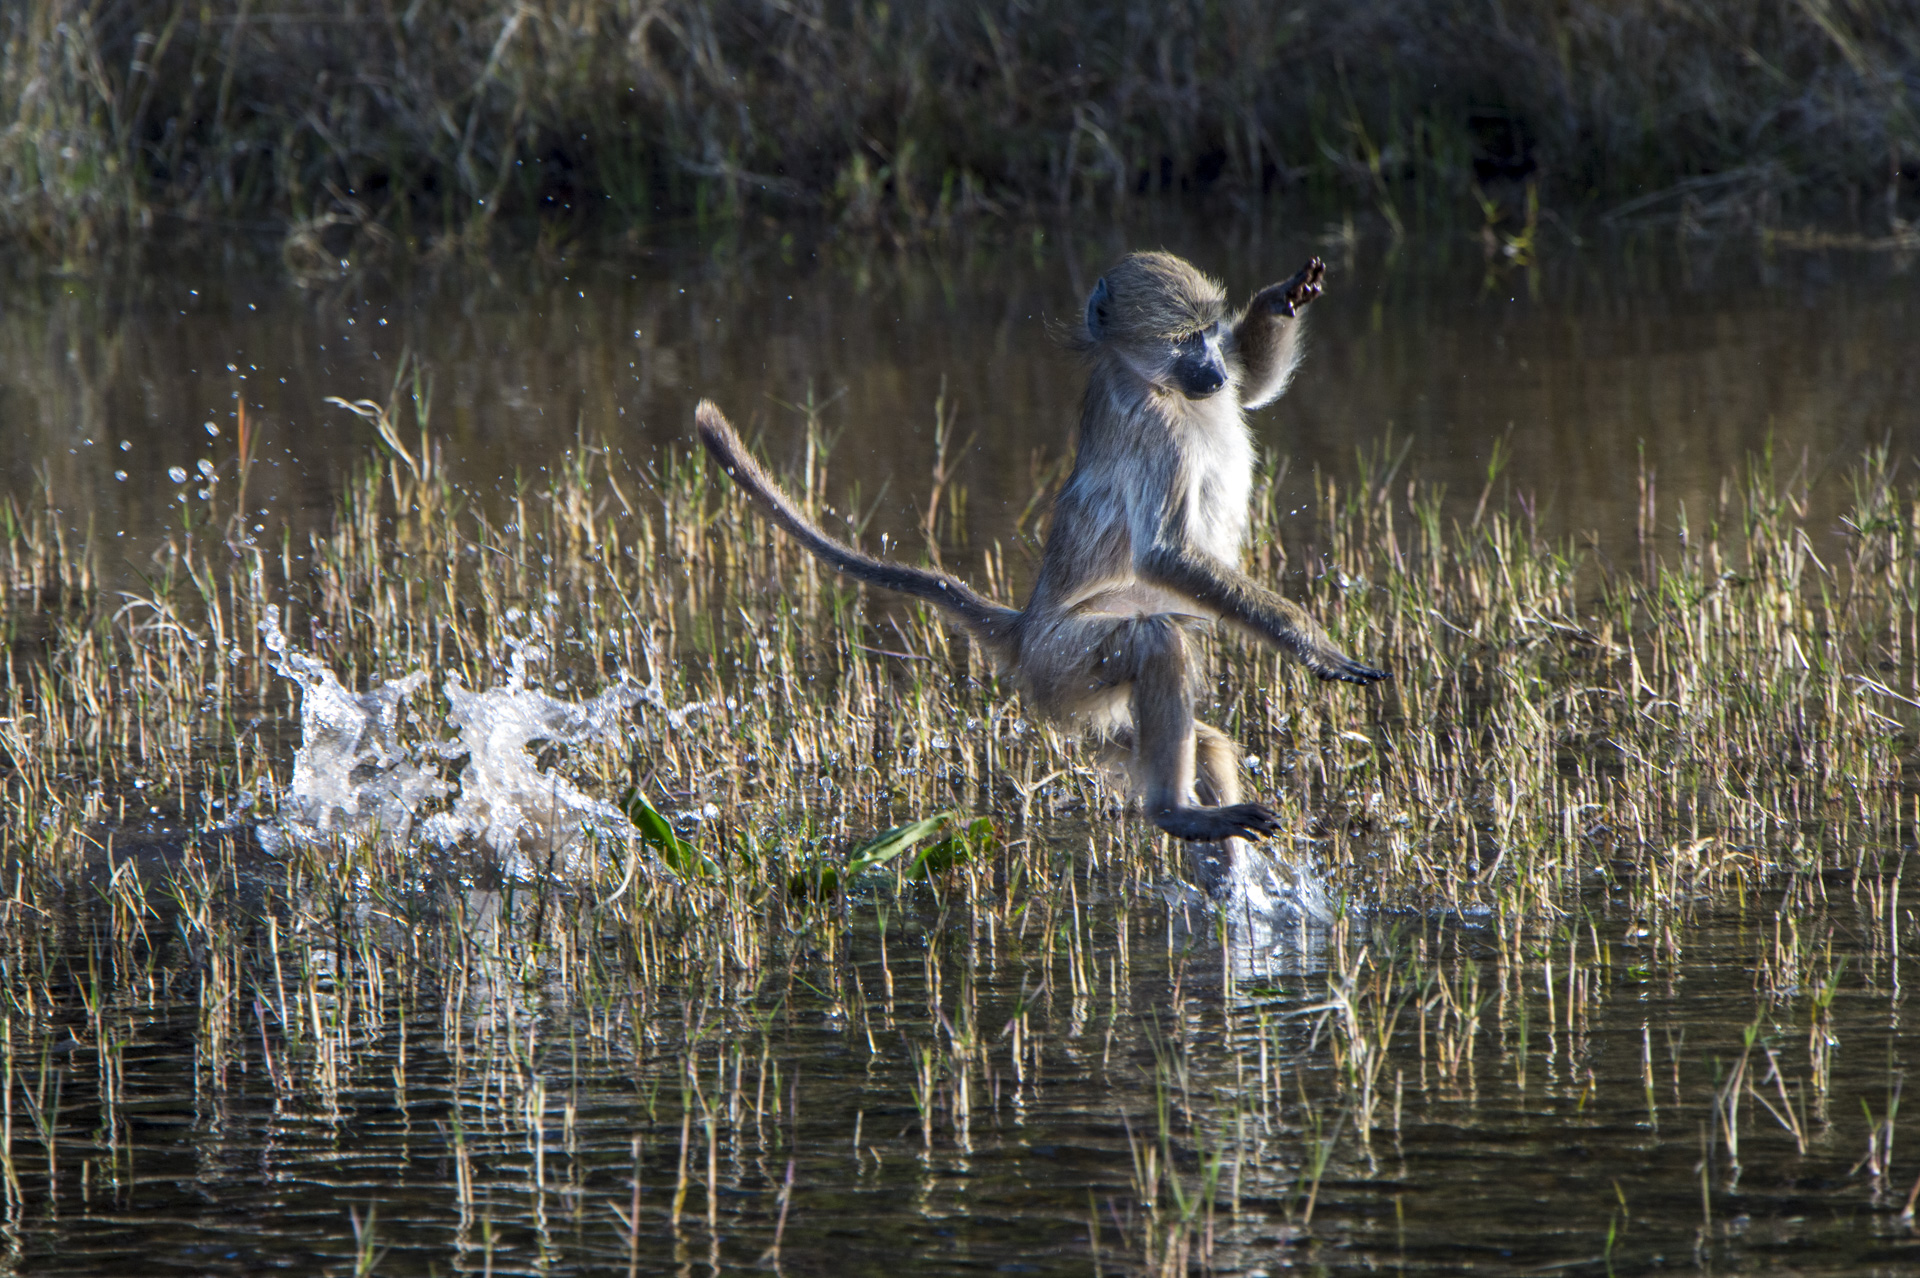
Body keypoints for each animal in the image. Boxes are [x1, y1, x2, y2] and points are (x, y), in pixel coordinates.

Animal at [696, 250, 1385, 864]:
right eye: (1184, 340)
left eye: (1210, 335)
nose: (1213, 369)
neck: (1150, 381)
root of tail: (1024, 629)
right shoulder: (1158, 429)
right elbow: (1165, 557)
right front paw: (1311, 641)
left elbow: (1256, 390)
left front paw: (1284, 297)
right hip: (1065, 664)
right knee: (1156, 640)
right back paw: (1175, 812)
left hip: (1092, 709)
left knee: (1202, 742)